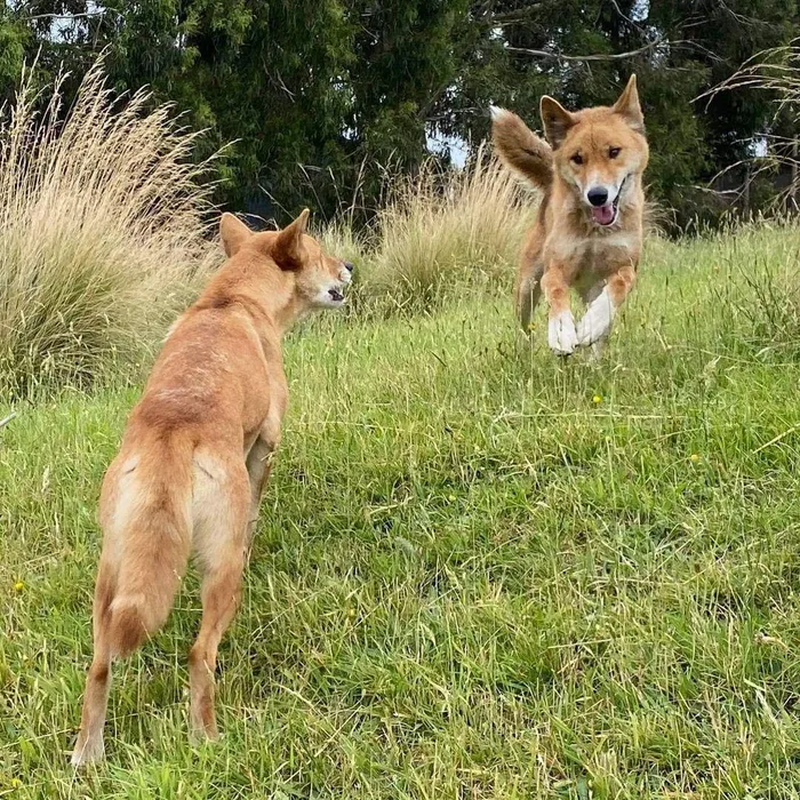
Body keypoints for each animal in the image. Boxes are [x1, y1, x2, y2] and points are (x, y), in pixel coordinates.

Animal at [70, 209, 352, 764]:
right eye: (322, 252)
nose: (349, 266)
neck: (232, 299)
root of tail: (172, 434)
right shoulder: (265, 442)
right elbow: (257, 503)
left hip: (112, 575)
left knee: (99, 665)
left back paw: (88, 753)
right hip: (221, 573)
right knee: (200, 654)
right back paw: (207, 739)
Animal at [490, 75, 648, 356]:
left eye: (614, 151)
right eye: (577, 158)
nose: (597, 195)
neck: (595, 230)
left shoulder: (626, 266)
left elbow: (618, 287)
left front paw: (590, 325)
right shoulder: (556, 267)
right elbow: (555, 292)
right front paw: (562, 332)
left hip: (591, 288)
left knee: (599, 331)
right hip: (526, 286)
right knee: (523, 324)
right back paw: (524, 351)